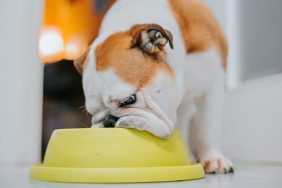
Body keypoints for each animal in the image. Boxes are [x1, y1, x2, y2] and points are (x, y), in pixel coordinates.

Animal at [74, 0, 234, 173]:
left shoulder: (212, 86)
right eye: (92, 113)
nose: (109, 121)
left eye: (129, 99)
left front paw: (214, 159)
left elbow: (208, 127)